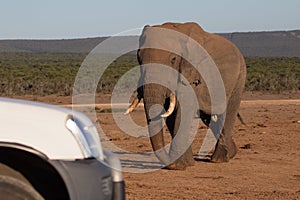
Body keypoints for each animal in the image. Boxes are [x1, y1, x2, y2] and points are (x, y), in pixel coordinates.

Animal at [124, 21, 246, 170]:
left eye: (173, 59)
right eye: (139, 58)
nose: (168, 163)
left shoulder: (191, 72)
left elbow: (182, 110)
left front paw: (178, 165)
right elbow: (171, 113)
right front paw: (186, 163)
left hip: (239, 77)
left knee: (228, 113)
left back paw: (219, 159)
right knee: (209, 117)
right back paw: (231, 153)